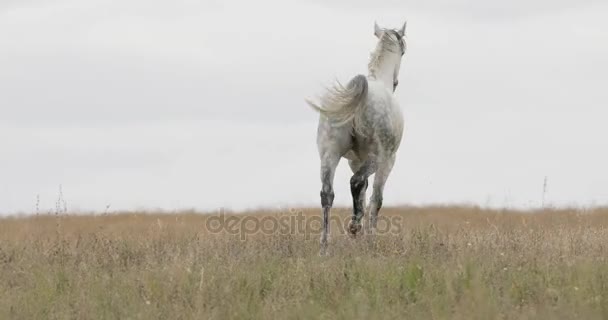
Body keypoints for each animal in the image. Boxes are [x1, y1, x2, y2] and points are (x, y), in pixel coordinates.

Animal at [308, 21, 408, 254]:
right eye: (404, 50)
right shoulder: (387, 162)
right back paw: (353, 226)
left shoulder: (354, 161)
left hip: (329, 155)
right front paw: (369, 239)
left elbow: (362, 194)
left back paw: (325, 247)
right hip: (378, 158)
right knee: (356, 182)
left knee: (327, 194)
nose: (396, 83)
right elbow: (375, 199)